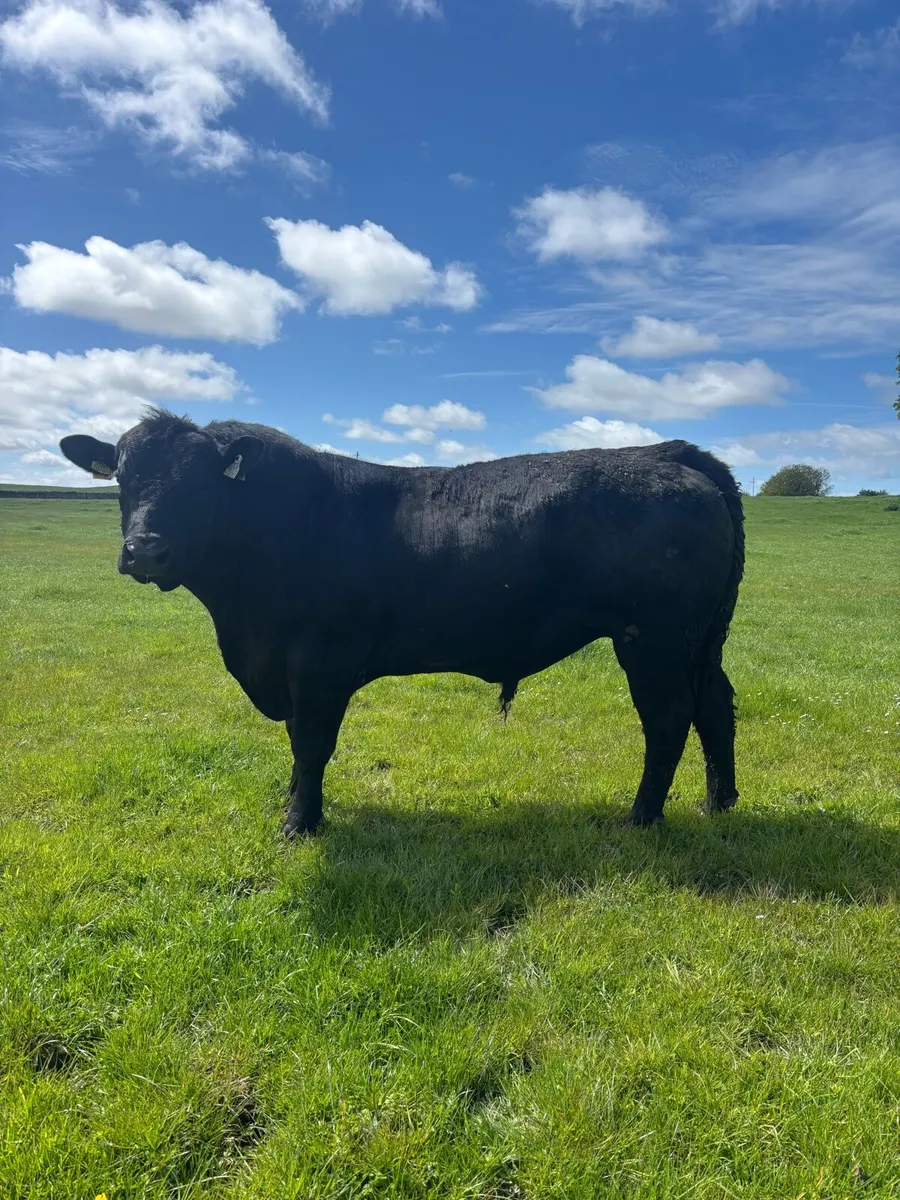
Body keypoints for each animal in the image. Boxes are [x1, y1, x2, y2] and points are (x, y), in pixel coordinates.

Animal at [60, 409, 744, 836]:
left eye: (201, 483)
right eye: (123, 477)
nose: (145, 550)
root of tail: (666, 454)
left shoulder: (318, 663)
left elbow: (312, 743)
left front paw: (300, 823)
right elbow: (298, 746)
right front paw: (293, 801)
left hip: (654, 641)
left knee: (668, 719)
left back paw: (642, 817)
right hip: (701, 641)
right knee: (715, 706)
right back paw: (718, 804)